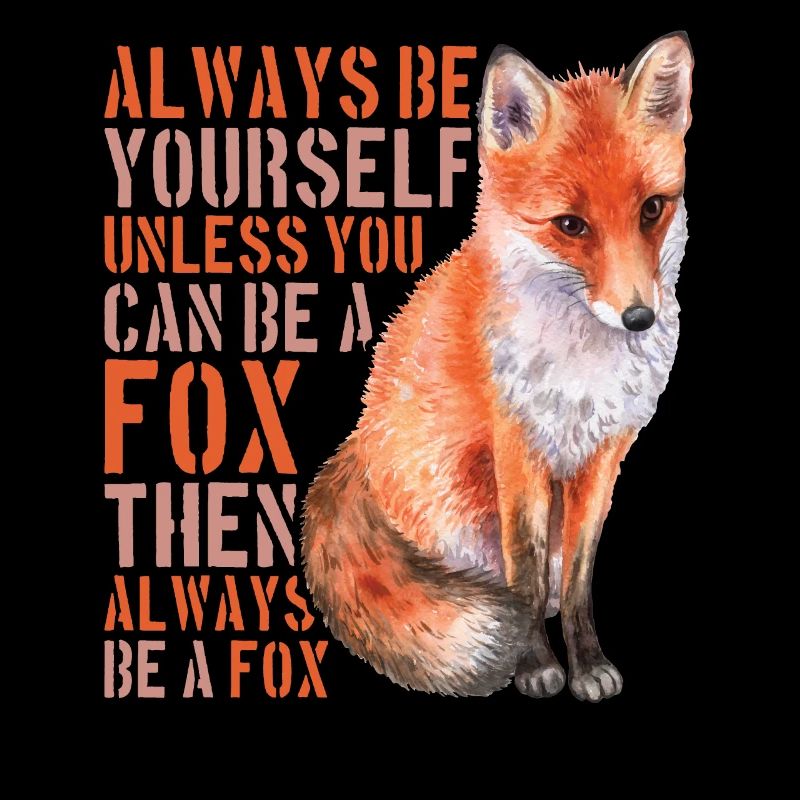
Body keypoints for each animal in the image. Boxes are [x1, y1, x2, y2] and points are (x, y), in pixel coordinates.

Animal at [302, 32, 693, 701]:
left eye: (651, 210)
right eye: (571, 225)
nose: (639, 317)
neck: (581, 374)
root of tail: (357, 446)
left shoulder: (604, 455)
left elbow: (578, 576)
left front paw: (586, 663)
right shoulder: (516, 446)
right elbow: (523, 574)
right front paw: (533, 663)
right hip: (457, 499)